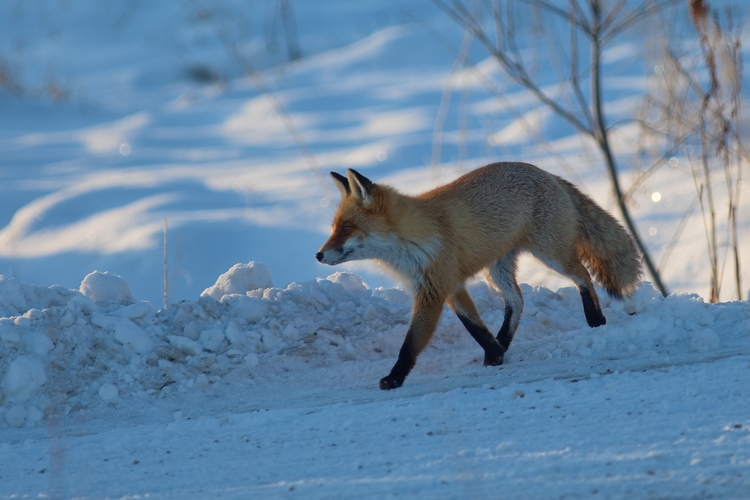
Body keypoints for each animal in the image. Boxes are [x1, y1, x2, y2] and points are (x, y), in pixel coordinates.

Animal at [314, 162, 644, 388]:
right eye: (334, 228)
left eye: (346, 228)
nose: (317, 255)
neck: (411, 242)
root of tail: (544, 171)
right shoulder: (449, 286)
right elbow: (474, 327)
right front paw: (495, 353)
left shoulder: (435, 289)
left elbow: (411, 343)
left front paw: (394, 378)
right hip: (496, 270)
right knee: (518, 301)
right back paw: (504, 340)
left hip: (552, 256)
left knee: (583, 276)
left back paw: (596, 319)